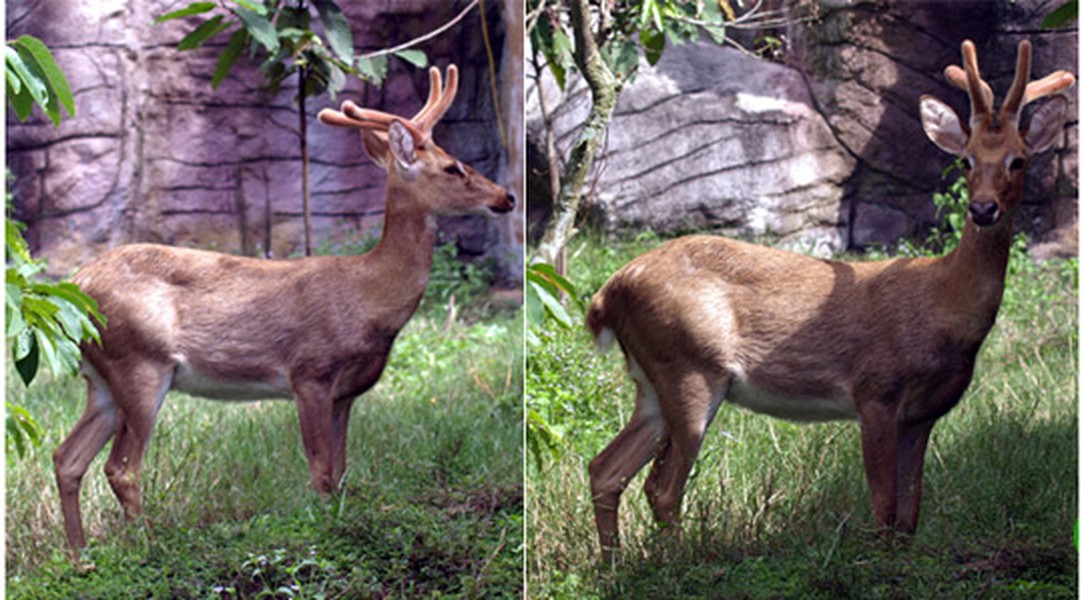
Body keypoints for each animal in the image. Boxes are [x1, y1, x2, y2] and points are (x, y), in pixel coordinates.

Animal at [52, 64, 518, 550]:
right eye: (453, 166)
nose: (506, 197)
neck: (369, 296)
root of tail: (75, 286)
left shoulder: (344, 393)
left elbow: (341, 473)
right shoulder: (310, 372)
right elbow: (321, 473)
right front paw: (327, 532)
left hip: (103, 379)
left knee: (68, 457)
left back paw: (80, 554)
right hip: (140, 362)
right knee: (122, 468)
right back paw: (147, 545)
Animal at [585, 39, 1075, 558]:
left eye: (1018, 160)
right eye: (966, 159)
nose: (983, 209)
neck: (947, 309)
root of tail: (608, 293)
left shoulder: (923, 415)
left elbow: (910, 513)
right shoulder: (875, 390)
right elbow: (883, 506)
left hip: (651, 381)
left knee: (606, 469)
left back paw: (614, 563)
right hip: (689, 367)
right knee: (661, 487)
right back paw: (678, 560)